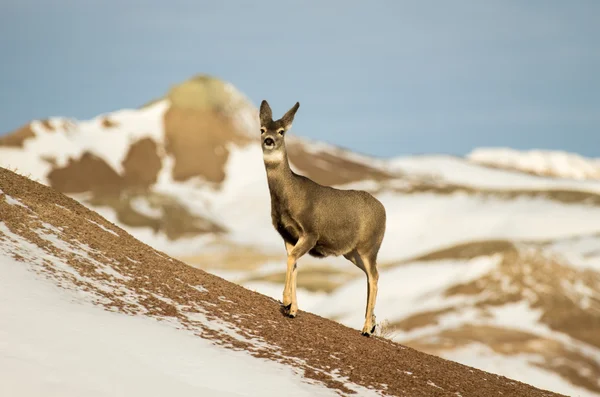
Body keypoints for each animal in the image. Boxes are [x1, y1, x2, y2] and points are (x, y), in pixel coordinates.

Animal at [256, 100, 384, 336]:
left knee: (374, 275)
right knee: (370, 276)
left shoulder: (311, 232)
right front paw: (293, 309)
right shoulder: (288, 235)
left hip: (369, 246)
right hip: (352, 252)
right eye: (262, 129)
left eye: (281, 131)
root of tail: (383, 209)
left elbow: (292, 259)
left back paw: (365, 328)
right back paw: (371, 323)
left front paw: (286, 301)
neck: (291, 195)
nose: (269, 140)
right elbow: (294, 264)